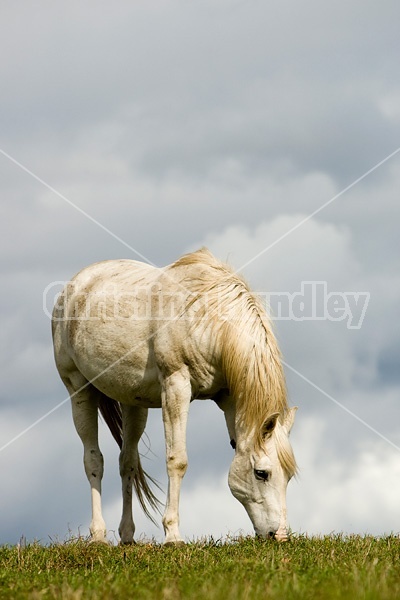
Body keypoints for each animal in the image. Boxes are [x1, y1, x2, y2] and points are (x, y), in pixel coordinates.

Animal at [51, 247, 296, 544]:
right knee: (93, 460)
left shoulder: (228, 399)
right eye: (262, 473)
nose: (279, 535)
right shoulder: (175, 387)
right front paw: (173, 534)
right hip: (79, 389)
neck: (206, 319)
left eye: (289, 476)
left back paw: (127, 536)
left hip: (133, 404)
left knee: (127, 462)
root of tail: (75, 284)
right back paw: (98, 535)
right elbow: (177, 460)